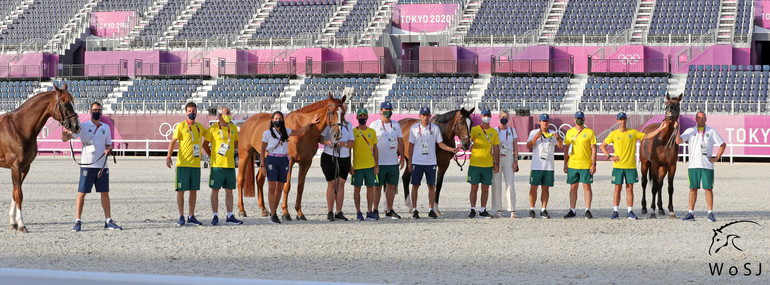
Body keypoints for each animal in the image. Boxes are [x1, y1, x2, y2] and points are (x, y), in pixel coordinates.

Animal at [1, 84, 81, 231]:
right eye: (65, 103)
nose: (77, 126)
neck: (19, 128)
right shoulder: (15, 166)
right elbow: (18, 194)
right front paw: (21, 224)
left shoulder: (25, 167)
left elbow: (15, 192)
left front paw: (13, 223)